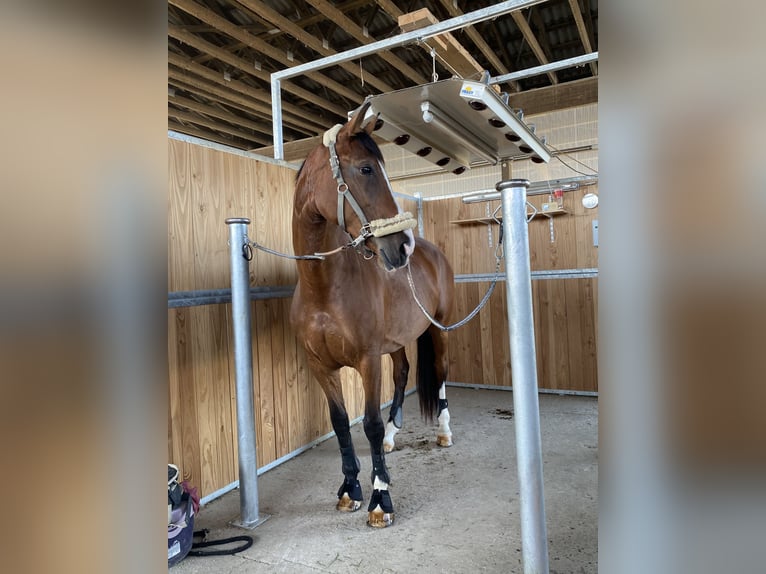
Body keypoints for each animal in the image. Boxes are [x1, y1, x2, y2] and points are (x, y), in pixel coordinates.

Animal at [288, 101, 456, 528]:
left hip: (439, 330)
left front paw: (381, 499)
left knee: (440, 374)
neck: (324, 289)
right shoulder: (321, 366)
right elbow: (340, 423)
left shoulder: (367, 360)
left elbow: (370, 423)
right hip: (395, 343)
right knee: (403, 374)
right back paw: (396, 439)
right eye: (365, 169)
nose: (403, 245)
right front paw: (351, 488)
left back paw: (444, 432)